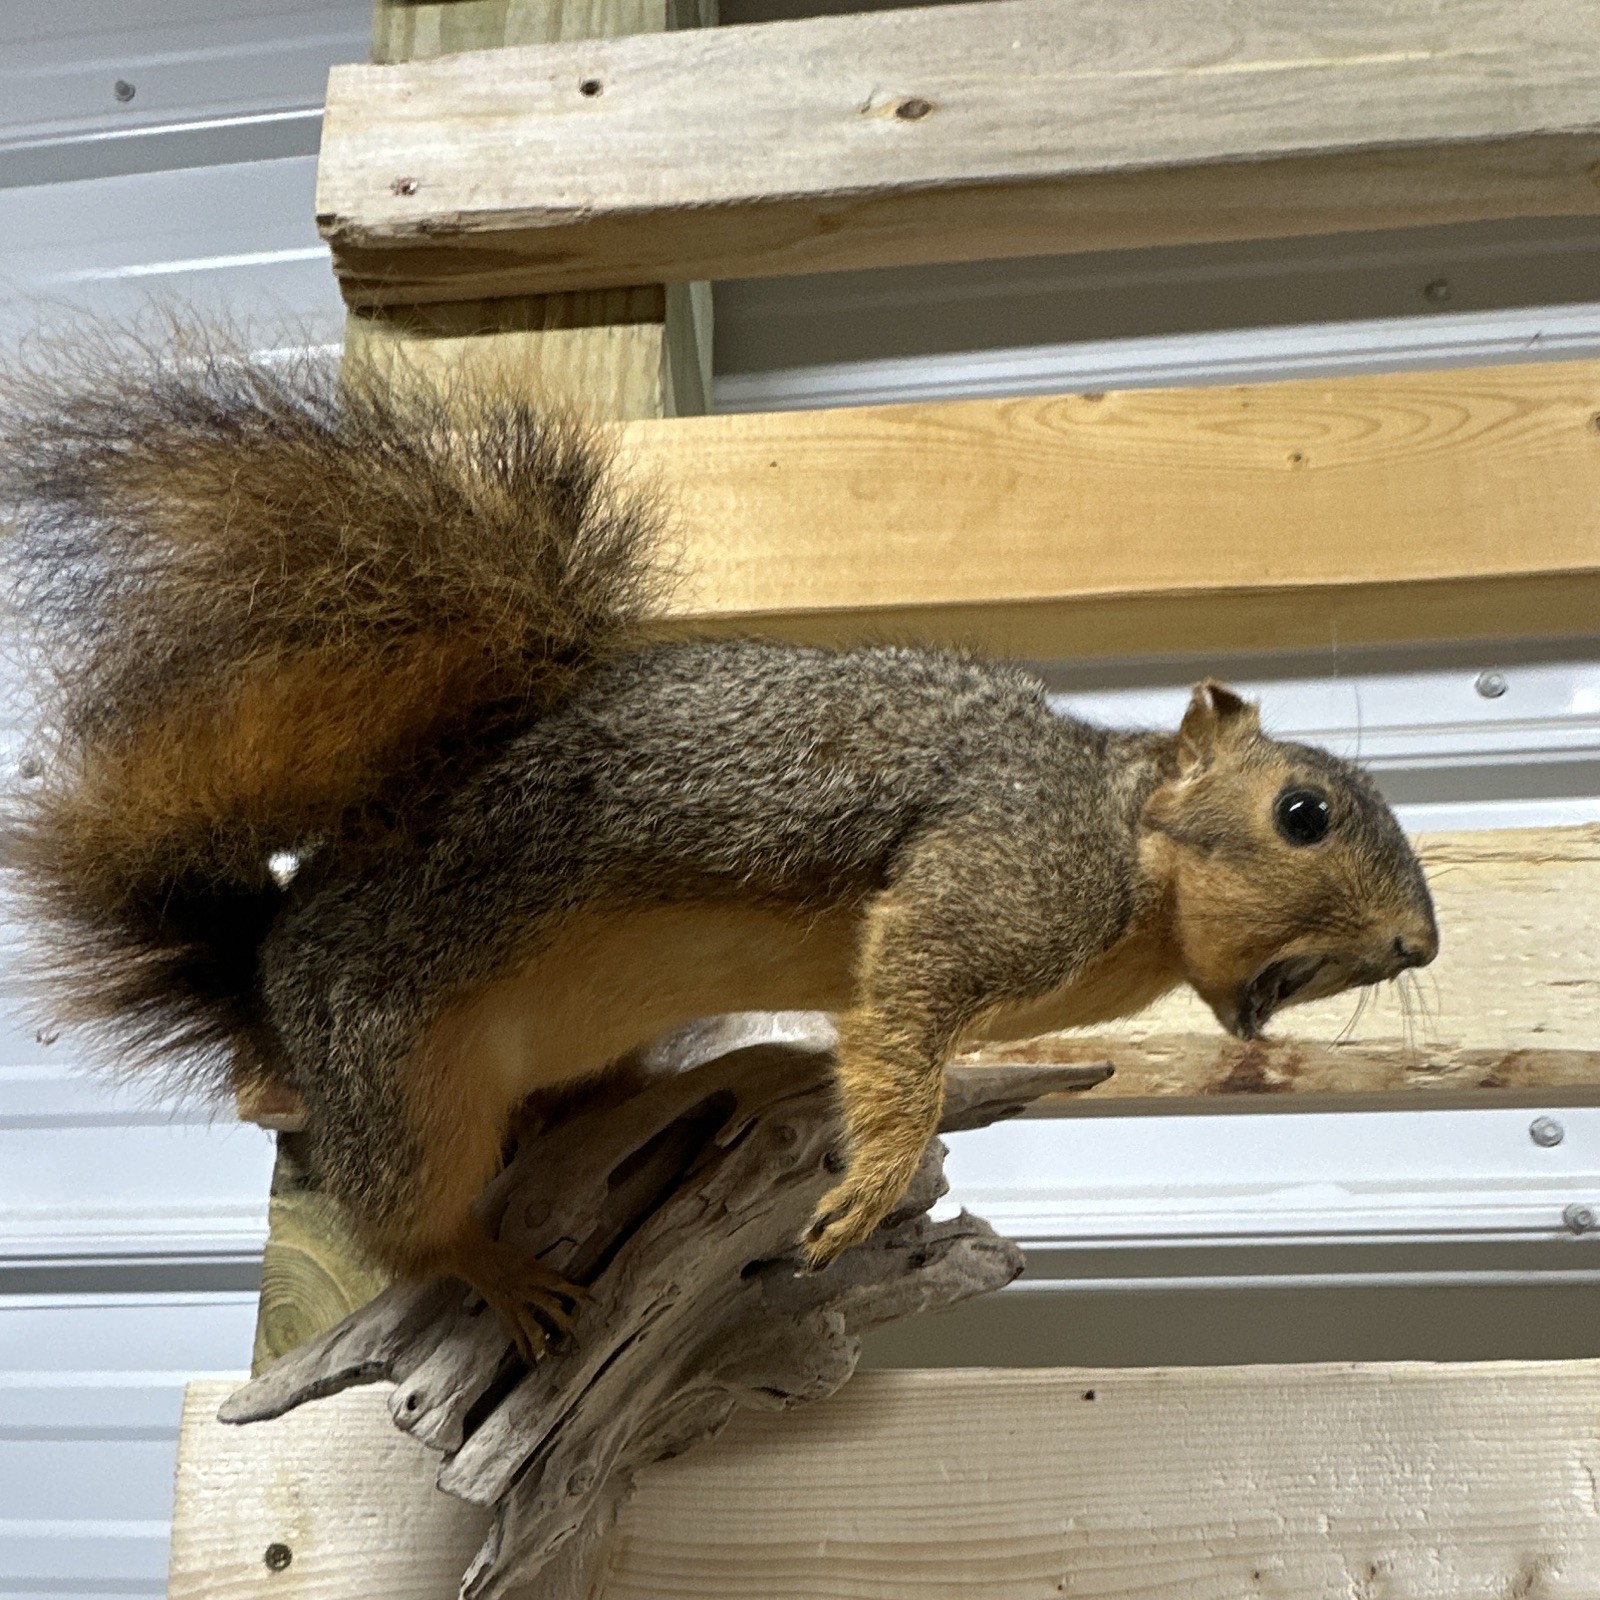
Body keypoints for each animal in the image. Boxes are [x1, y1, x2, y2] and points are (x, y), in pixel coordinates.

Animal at [0, 328, 1438, 1357]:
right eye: (1301, 814)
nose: (1422, 942)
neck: (1126, 841)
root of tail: (267, 963)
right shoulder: (1005, 861)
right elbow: (908, 999)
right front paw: (878, 1176)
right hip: (398, 1083)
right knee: (406, 1225)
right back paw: (498, 1273)